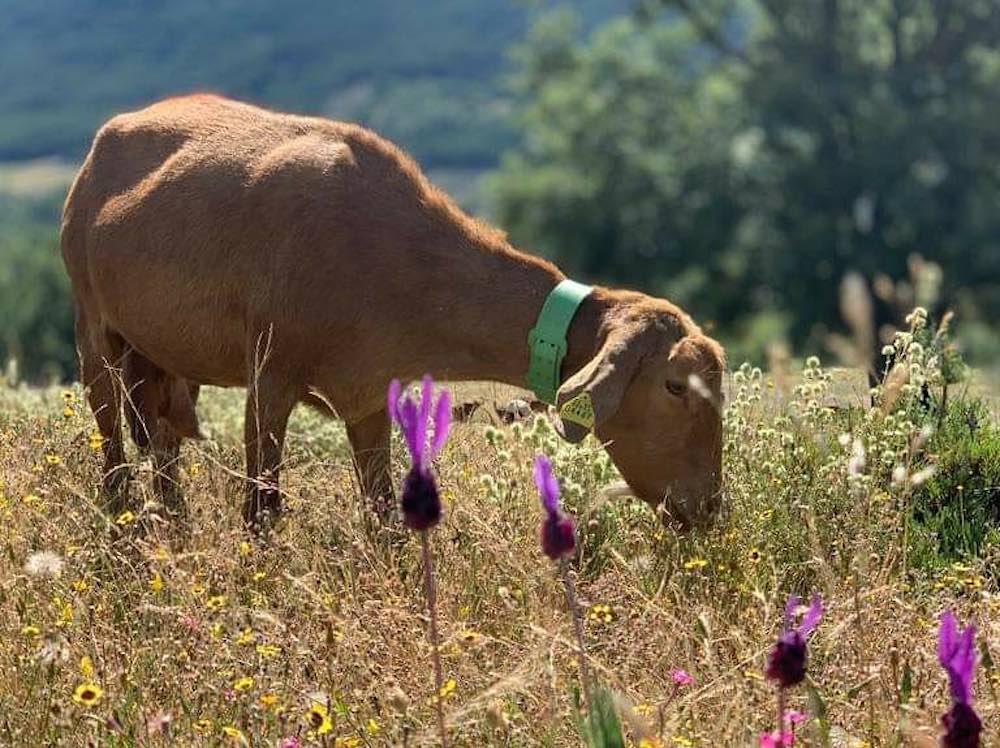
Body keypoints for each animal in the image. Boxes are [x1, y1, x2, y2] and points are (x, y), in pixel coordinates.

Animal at [60, 95, 728, 532]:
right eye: (674, 385)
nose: (705, 507)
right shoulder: (270, 373)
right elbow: (262, 510)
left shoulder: (366, 393)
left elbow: (382, 515)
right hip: (93, 324)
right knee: (113, 447)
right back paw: (125, 527)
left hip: (168, 355)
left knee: (164, 444)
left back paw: (172, 527)